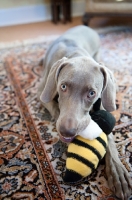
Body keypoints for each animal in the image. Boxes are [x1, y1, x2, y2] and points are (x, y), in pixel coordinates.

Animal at [37, 25, 131, 199]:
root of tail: (85, 26)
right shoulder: (42, 92)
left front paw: (118, 173)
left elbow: (109, 136)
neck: (75, 53)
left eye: (92, 93)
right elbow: (56, 109)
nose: (67, 131)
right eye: (63, 86)